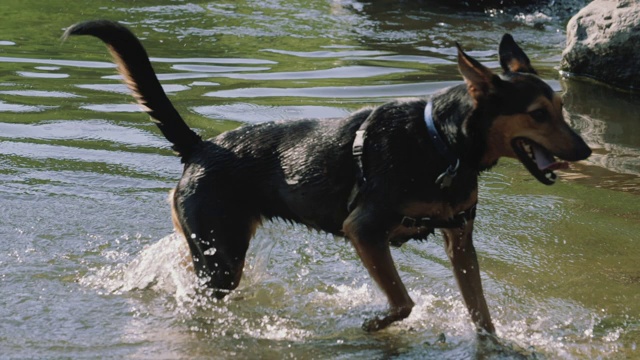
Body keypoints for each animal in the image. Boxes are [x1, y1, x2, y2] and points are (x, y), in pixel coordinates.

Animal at [63, 21, 592, 336]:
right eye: (537, 114)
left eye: (561, 106)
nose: (586, 151)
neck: (443, 146)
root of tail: (200, 145)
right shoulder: (364, 230)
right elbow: (403, 302)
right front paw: (373, 324)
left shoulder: (460, 238)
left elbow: (481, 313)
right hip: (221, 260)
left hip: (207, 245)